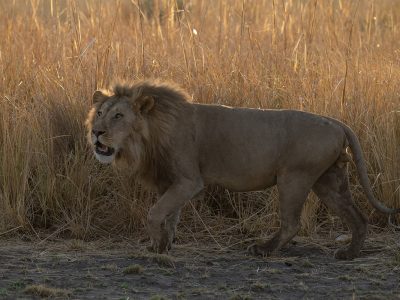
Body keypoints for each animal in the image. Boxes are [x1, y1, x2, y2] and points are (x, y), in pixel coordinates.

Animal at [86, 80, 398, 260]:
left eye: (118, 116)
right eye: (100, 113)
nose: (96, 132)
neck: (150, 134)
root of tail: (336, 122)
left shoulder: (189, 181)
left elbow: (155, 213)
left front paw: (157, 244)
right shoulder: (171, 182)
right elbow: (170, 216)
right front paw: (162, 245)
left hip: (294, 177)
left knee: (292, 223)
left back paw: (264, 249)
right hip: (328, 180)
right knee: (358, 217)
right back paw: (349, 254)